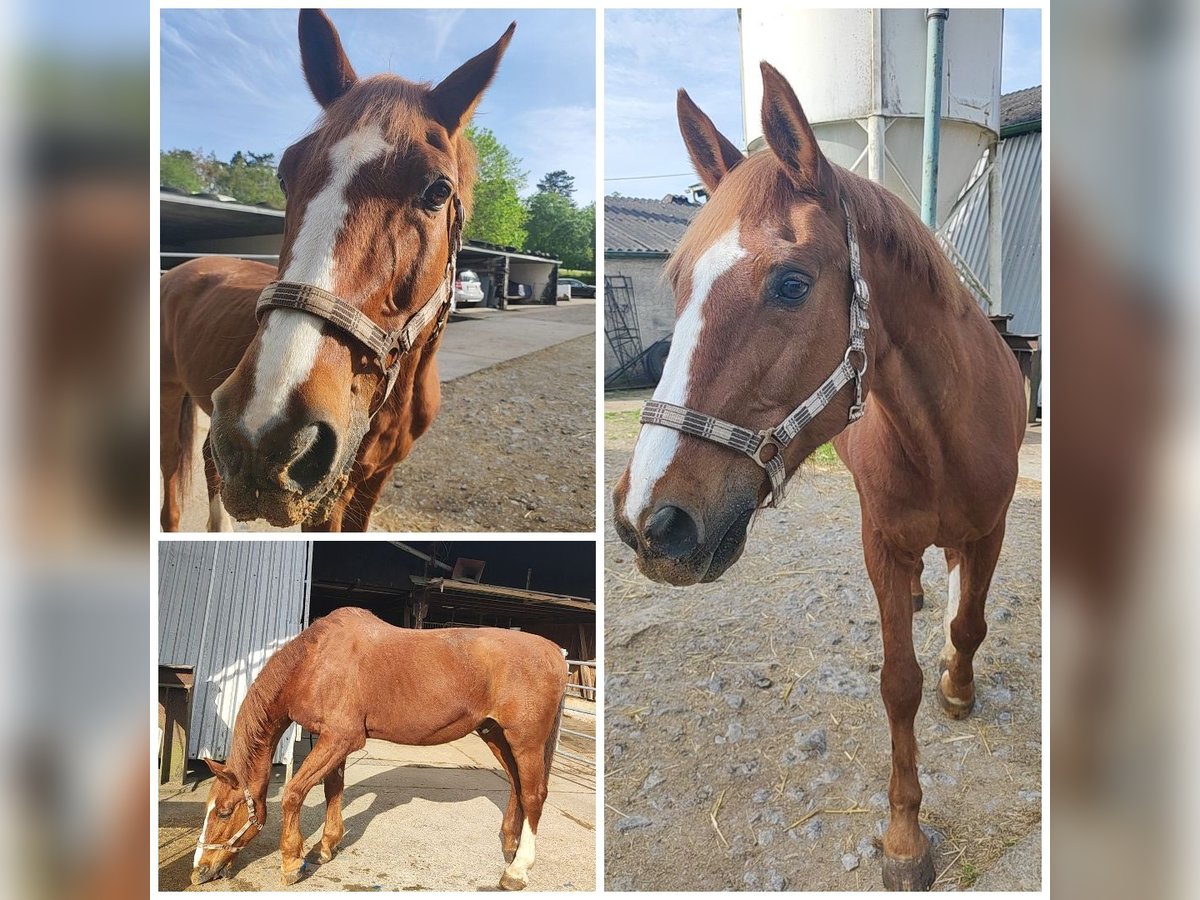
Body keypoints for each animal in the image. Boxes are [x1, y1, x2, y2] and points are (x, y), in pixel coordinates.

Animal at [160, 10, 516, 532]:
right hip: (171, 399)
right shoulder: (327, 498)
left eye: (438, 190)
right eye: (284, 175)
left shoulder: (370, 481)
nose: (265, 433)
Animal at [189, 609, 568, 892]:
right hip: (495, 735)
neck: (314, 662)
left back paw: (516, 871)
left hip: (525, 741)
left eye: (223, 812)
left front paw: (292, 862)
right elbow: (333, 789)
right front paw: (325, 847)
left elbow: (294, 793)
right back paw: (509, 845)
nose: (199, 871)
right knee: (517, 786)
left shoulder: (340, 738)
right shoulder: (331, 740)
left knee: (534, 794)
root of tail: (555, 652)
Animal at [614, 65, 1027, 897]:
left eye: (792, 283)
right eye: (675, 282)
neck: (943, 432)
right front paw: (904, 838)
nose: (649, 523)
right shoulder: (883, 542)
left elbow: (970, 626)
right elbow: (896, 682)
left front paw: (958, 685)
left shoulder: (993, 526)